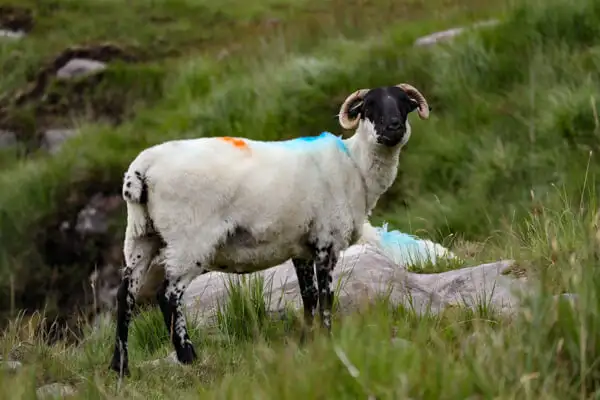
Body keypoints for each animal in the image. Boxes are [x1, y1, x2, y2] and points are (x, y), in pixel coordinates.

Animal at [109, 83, 432, 376]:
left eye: (403, 104)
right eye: (369, 107)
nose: (393, 127)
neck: (354, 167)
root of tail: (142, 169)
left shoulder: (302, 247)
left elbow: (308, 297)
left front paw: (306, 342)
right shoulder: (326, 242)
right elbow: (326, 298)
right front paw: (328, 342)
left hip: (140, 235)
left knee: (125, 293)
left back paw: (120, 366)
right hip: (190, 241)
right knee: (167, 295)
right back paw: (188, 356)